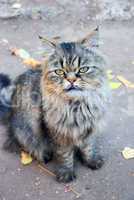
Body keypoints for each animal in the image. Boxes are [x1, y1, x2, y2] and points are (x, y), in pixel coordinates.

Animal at [0, 27, 110, 183]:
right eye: (59, 72)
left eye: (83, 69)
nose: (71, 80)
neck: (76, 106)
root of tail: (10, 113)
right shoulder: (56, 132)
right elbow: (64, 154)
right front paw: (66, 172)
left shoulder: (89, 127)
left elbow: (88, 147)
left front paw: (91, 160)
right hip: (25, 130)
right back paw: (43, 154)